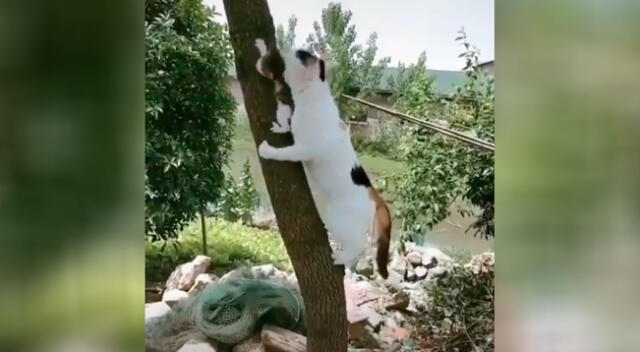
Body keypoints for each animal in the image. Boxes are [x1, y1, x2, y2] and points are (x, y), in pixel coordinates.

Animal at [254, 39, 390, 278]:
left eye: (300, 54)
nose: (285, 47)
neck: (312, 95)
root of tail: (376, 196)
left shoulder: (303, 149)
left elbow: (284, 152)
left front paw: (267, 150)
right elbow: (287, 124)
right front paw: (280, 127)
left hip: (339, 221)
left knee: (361, 246)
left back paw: (342, 258)